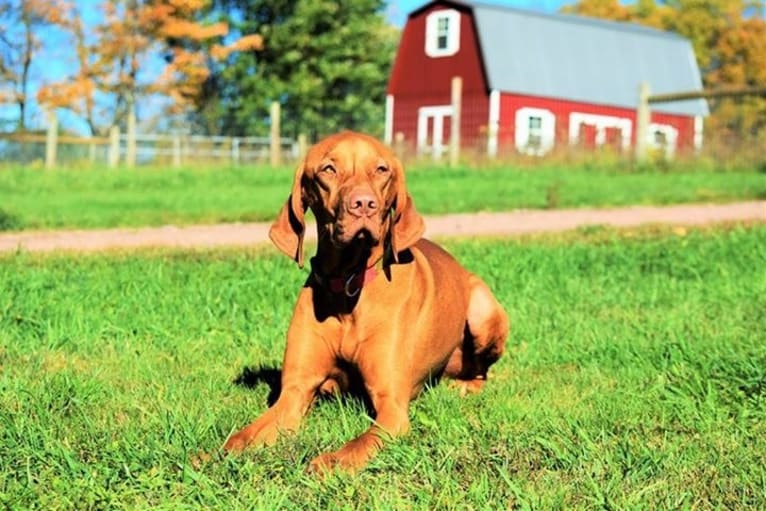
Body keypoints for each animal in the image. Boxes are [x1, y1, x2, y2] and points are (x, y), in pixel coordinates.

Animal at [222, 131, 510, 472]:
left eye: (381, 170)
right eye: (328, 169)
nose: (363, 205)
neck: (348, 286)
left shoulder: (392, 409)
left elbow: (359, 444)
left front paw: (329, 463)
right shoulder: (294, 392)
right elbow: (240, 438)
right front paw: (209, 456)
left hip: (483, 311)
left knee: (482, 372)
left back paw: (465, 386)